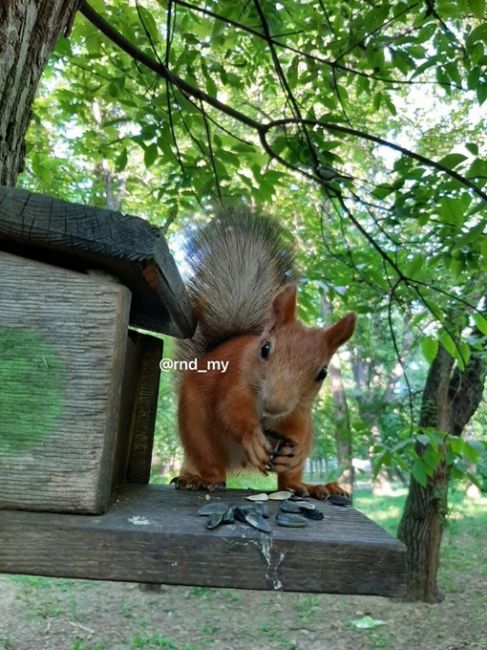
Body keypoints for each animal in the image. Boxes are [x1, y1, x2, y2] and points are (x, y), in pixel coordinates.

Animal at [173, 205, 356, 498]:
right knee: (212, 467)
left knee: (287, 481)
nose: (275, 405)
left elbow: (296, 429)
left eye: (323, 373)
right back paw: (199, 479)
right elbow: (230, 412)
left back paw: (310, 485)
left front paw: (292, 452)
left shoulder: (298, 411)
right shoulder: (233, 384)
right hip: (196, 430)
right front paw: (252, 437)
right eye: (265, 349)